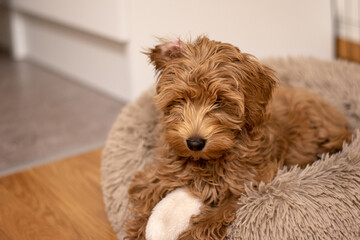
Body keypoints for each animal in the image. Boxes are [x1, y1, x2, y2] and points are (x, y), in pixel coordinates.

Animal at [124, 36, 352, 239]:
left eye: (219, 101)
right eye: (181, 99)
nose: (195, 143)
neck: (207, 161)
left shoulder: (251, 180)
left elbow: (219, 212)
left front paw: (194, 233)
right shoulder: (164, 170)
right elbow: (145, 190)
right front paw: (138, 228)